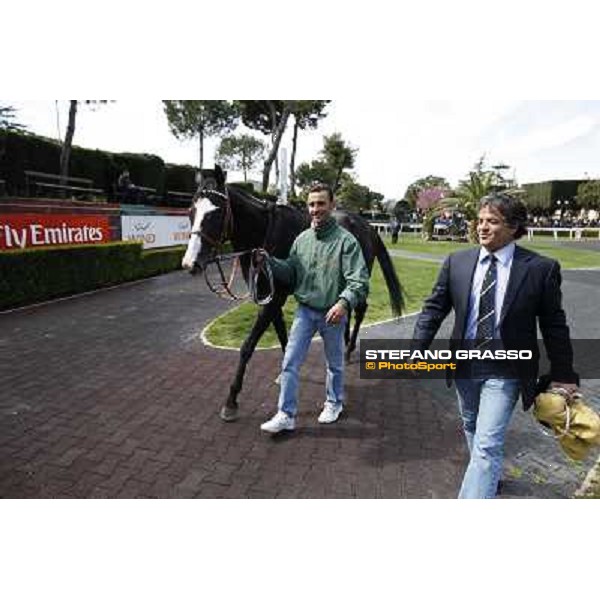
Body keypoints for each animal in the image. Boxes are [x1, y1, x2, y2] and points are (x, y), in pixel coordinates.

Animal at [182, 166, 404, 422]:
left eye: (216, 213)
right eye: (191, 211)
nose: (191, 263)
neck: (264, 233)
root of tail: (367, 226)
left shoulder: (274, 298)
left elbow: (248, 346)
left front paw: (231, 401)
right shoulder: (269, 297)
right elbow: (282, 335)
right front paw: (285, 372)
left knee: (359, 307)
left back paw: (348, 350)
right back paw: (344, 344)